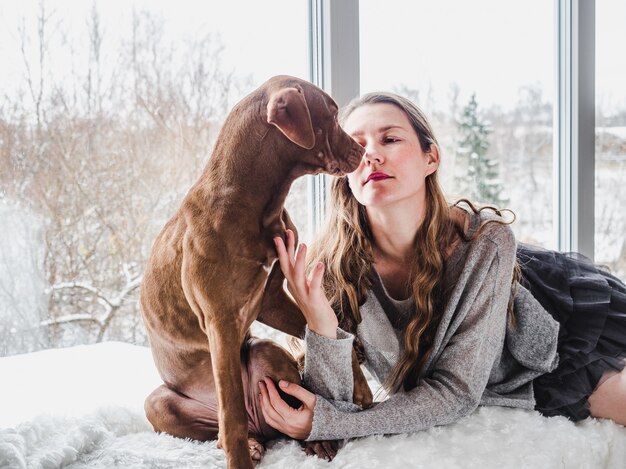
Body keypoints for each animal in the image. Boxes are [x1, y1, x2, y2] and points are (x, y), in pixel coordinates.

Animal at [139, 77, 368, 468]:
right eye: (333, 114)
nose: (363, 150)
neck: (254, 202)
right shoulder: (220, 321)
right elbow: (230, 417)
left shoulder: (271, 301)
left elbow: (337, 333)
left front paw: (362, 391)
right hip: (159, 403)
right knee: (226, 426)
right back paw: (253, 443)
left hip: (263, 349)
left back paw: (314, 439)